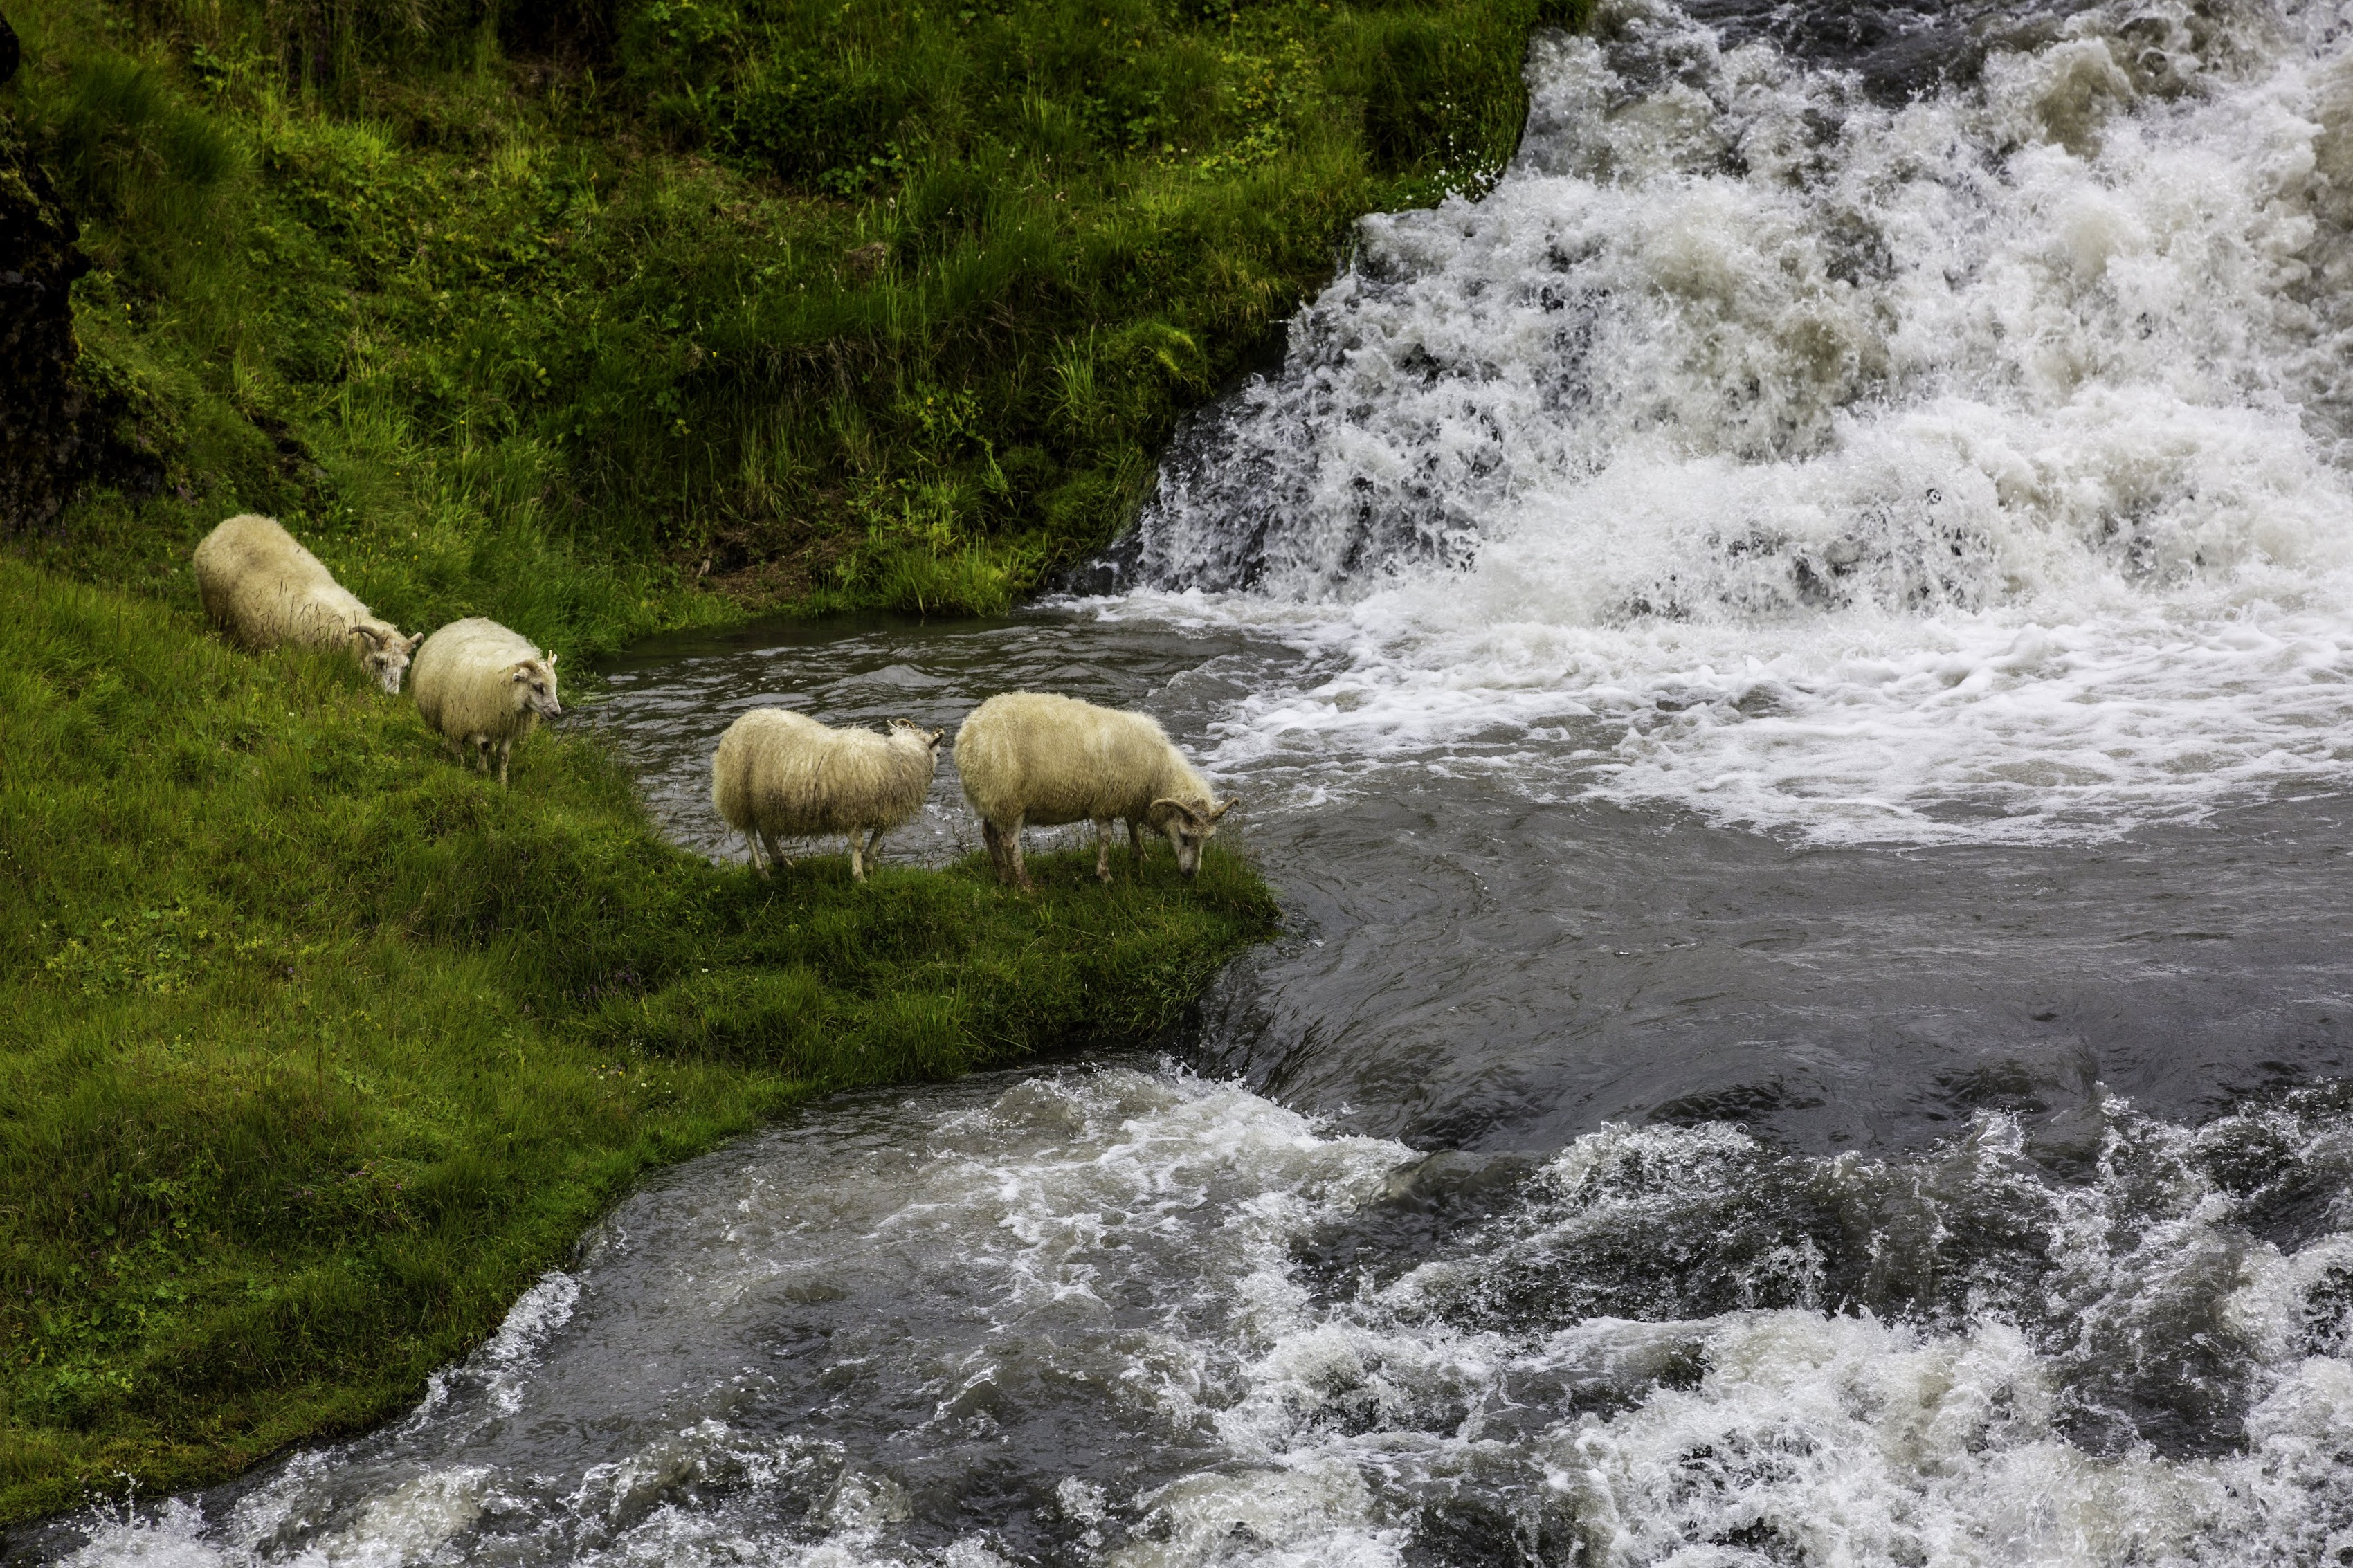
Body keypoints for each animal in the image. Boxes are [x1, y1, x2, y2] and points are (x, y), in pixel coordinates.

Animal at [192, 513, 424, 692]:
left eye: (405, 667)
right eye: (380, 662)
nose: (390, 696)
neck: (349, 635)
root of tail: (230, 523)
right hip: (216, 607)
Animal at [409, 612, 560, 781]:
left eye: (555, 685)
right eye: (538, 687)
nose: (557, 713)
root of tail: (457, 623)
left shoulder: (508, 726)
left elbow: (504, 754)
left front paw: (503, 781)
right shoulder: (472, 722)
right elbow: (483, 746)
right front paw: (481, 770)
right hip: (452, 714)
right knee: (455, 740)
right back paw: (461, 763)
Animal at [706, 706, 945, 880]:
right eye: (939, 754)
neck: (896, 758)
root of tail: (736, 726)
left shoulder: (882, 807)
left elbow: (878, 834)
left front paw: (868, 864)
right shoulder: (854, 808)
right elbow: (858, 843)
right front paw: (859, 877)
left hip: (766, 800)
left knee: (766, 833)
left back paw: (783, 862)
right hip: (740, 795)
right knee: (751, 835)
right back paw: (763, 871)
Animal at [950, 692, 1233, 885]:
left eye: (1208, 839)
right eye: (1184, 836)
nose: (1190, 875)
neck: (1157, 772)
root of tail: (968, 737)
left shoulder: (1130, 795)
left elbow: (1132, 826)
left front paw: (1140, 856)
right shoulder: (1106, 800)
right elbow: (1106, 837)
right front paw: (1105, 874)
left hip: (992, 798)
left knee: (988, 834)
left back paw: (1003, 878)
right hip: (1010, 800)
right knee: (1009, 842)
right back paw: (1026, 885)